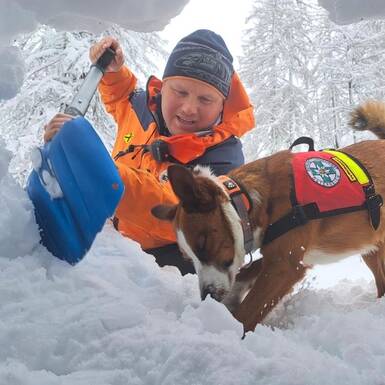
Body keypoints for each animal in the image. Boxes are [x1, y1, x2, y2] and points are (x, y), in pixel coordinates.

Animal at [152, 100, 384, 332]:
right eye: (186, 256)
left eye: (203, 244)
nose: (208, 295)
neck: (249, 200)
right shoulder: (276, 256)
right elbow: (245, 273)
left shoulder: (284, 265)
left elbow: (247, 313)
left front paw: (229, 329)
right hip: (370, 248)